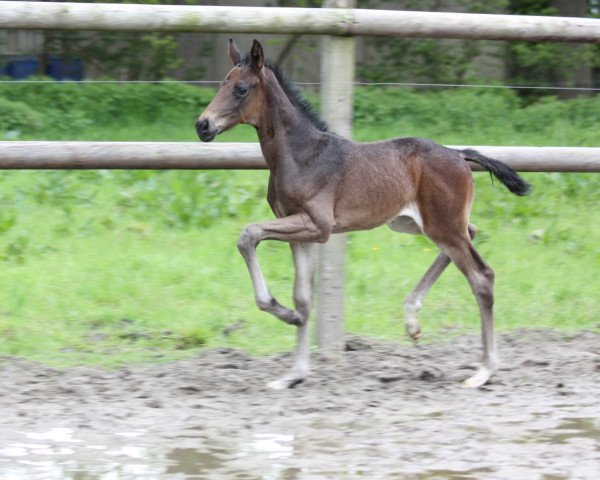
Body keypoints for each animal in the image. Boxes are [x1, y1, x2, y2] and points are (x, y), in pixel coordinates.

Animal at [196, 38, 528, 390]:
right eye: (222, 83)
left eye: (242, 89)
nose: (202, 125)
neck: (302, 155)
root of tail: (459, 154)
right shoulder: (302, 233)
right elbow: (303, 298)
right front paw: (293, 372)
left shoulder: (318, 226)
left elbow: (249, 234)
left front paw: (283, 314)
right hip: (415, 223)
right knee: (472, 232)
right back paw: (412, 320)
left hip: (442, 226)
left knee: (482, 277)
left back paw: (484, 370)